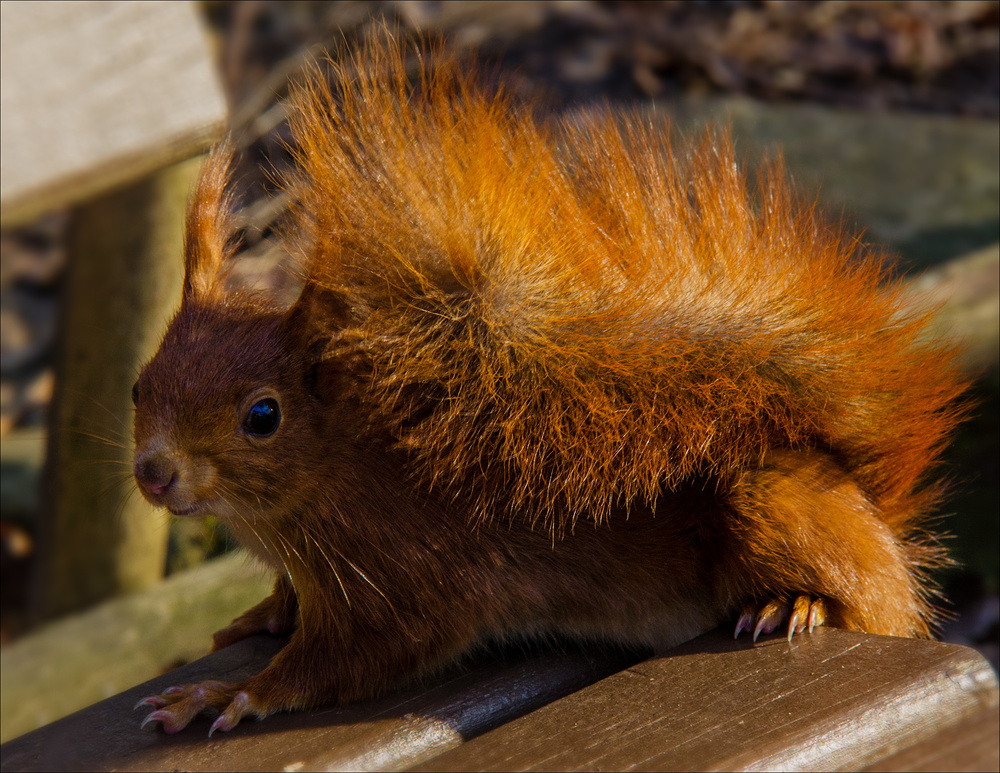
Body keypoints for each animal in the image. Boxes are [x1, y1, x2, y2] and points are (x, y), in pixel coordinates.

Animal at [131, 33, 968, 732]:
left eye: (262, 415)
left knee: (863, 596)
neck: (324, 479)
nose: (154, 471)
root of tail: (876, 519)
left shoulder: (405, 573)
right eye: (140, 386)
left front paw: (232, 691)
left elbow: (359, 657)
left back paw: (800, 603)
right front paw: (263, 612)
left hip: (774, 499)